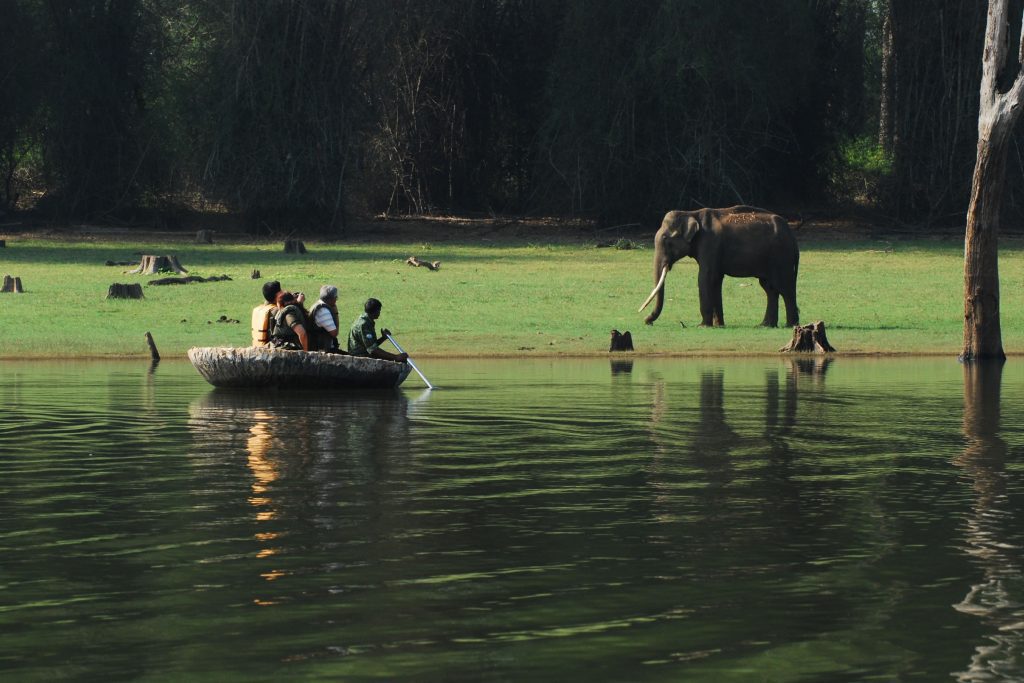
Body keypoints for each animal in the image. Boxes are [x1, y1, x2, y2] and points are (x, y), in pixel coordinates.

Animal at [638, 205, 798, 327]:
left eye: (666, 240)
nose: (647, 321)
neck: (691, 213)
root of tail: (791, 234)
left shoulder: (710, 242)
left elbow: (705, 277)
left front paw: (703, 326)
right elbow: (715, 280)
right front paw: (719, 325)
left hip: (782, 256)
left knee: (785, 288)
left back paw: (790, 325)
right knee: (770, 288)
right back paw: (765, 325)